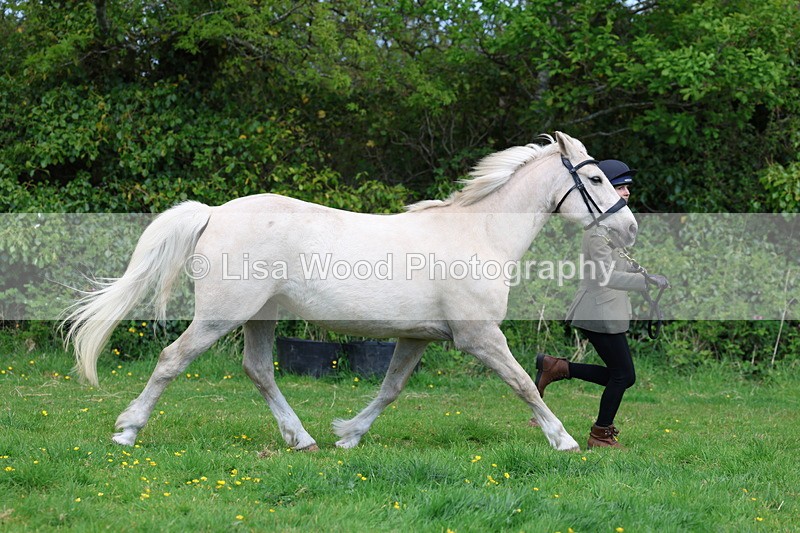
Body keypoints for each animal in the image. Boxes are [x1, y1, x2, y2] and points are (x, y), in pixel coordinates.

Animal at [63, 131, 637, 452]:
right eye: (596, 181)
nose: (629, 229)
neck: (481, 235)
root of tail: (214, 213)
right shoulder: (480, 337)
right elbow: (522, 384)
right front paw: (564, 441)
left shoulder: (417, 337)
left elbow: (390, 389)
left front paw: (349, 435)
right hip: (220, 316)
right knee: (171, 360)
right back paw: (127, 432)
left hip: (261, 317)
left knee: (258, 371)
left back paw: (304, 440)